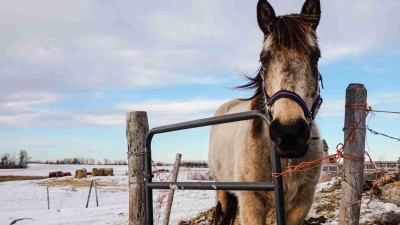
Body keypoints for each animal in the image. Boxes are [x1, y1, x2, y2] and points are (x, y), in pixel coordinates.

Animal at [209, 0, 324, 224]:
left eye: (315, 57)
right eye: (263, 59)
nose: (289, 133)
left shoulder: (301, 203)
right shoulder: (251, 204)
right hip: (222, 190)